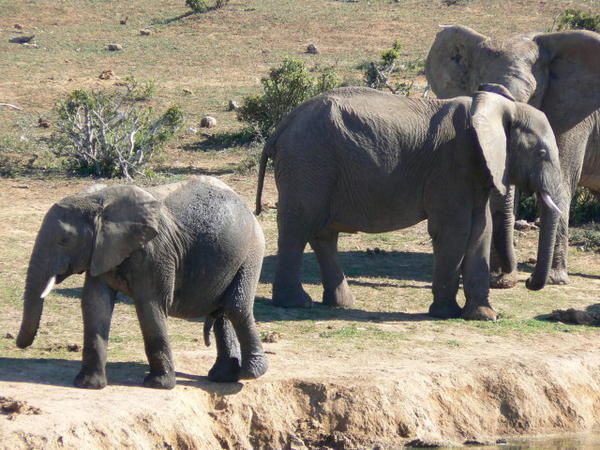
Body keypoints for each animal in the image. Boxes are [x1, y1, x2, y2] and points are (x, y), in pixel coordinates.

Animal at [15, 178, 268, 388]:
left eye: (64, 240)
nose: (21, 346)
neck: (99, 200)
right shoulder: (101, 251)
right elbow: (95, 304)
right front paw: (88, 385)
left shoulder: (155, 253)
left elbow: (150, 305)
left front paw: (158, 385)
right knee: (222, 312)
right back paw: (222, 377)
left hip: (252, 251)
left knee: (236, 307)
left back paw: (250, 374)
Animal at [255, 85, 564, 324]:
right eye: (541, 153)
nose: (527, 282)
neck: (497, 108)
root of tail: (281, 126)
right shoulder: (451, 165)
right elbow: (454, 230)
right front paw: (445, 313)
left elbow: (481, 230)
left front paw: (485, 316)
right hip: (307, 163)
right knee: (298, 228)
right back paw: (296, 303)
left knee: (324, 234)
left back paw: (342, 304)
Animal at [426, 25, 600, 288]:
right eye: (478, 88)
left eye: (533, 94)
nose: (527, 282)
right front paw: (498, 280)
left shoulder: (572, 112)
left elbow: (561, 182)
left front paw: (554, 280)